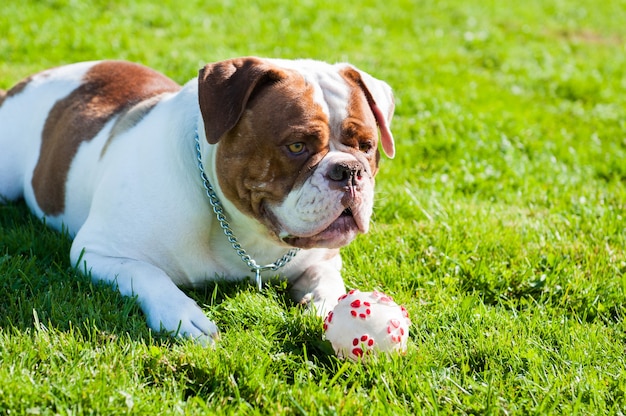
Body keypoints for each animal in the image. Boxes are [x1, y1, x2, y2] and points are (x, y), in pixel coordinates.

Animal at [0, 58, 392, 344]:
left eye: (367, 146)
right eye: (296, 146)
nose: (348, 171)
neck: (245, 233)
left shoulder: (324, 256)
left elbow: (328, 279)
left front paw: (324, 305)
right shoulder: (99, 252)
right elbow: (149, 273)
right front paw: (183, 315)